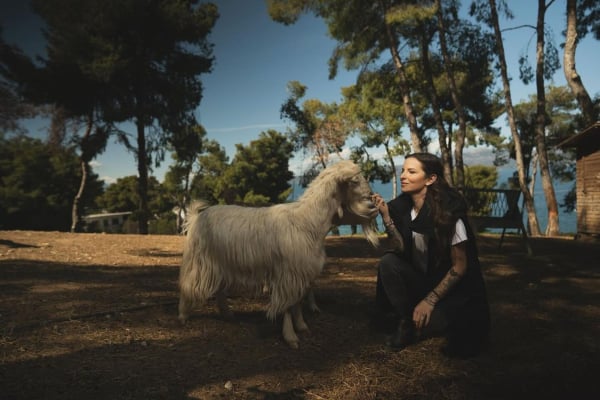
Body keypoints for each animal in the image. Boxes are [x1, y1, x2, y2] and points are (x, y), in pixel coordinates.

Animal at [176, 159, 380, 346]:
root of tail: (196, 217)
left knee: (219, 289)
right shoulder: (287, 273)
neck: (307, 220)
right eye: (354, 181)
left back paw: (227, 314)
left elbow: (297, 302)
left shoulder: (300, 272)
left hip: (221, 262)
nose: (371, 195)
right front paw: (290, 336)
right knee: (188, 284)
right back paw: (183, 315)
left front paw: (301, 325)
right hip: (199, 261)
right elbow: (288, 306)